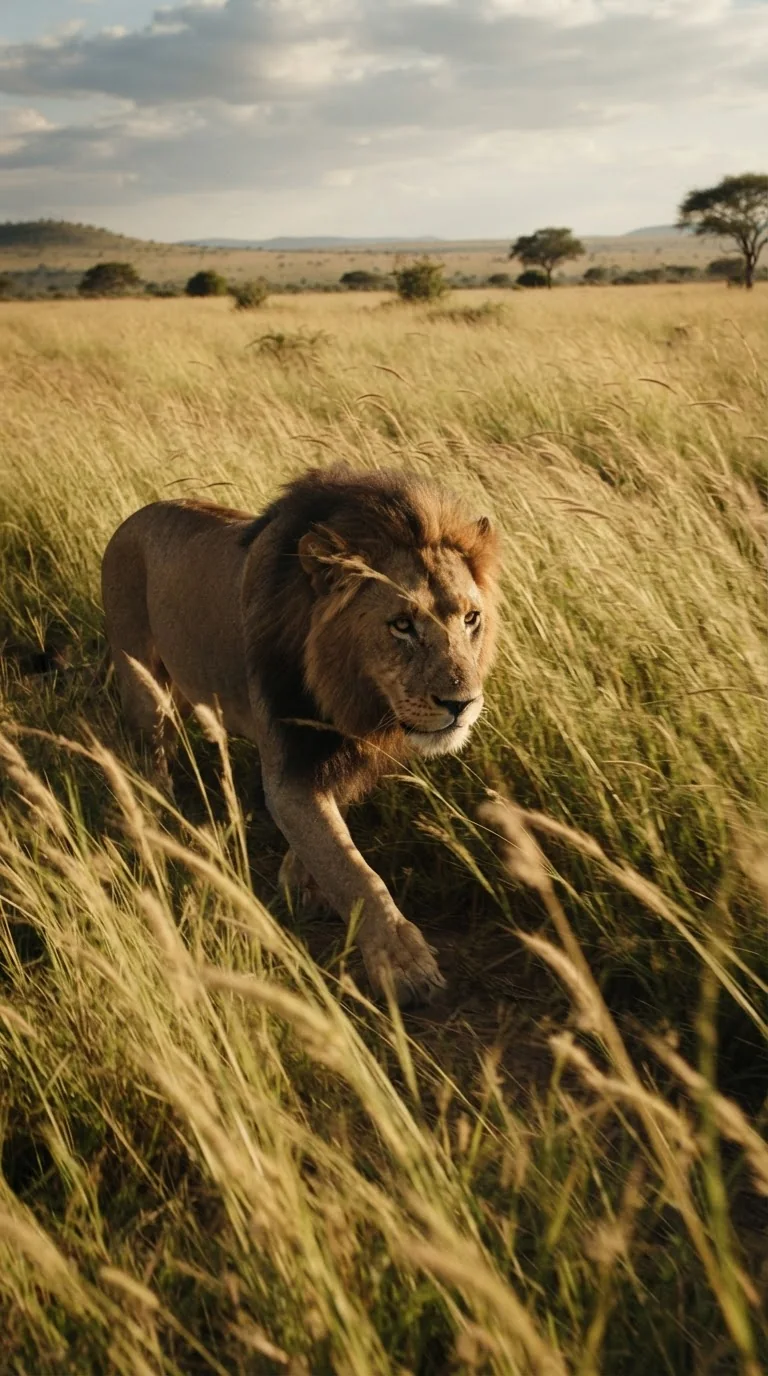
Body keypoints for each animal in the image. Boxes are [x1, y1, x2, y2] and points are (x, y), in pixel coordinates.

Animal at [101, 466, 500, 1003]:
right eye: (402, 625)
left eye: (471, 618)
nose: (463, 704)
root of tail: (133, 517)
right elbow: (356, 873)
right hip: (143, 683)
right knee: (152, 751)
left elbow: (330, 837)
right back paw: (156, 814)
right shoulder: (288, 765)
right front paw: (405, 967)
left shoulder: (341, 754)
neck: (351, 693)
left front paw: (300, 882)